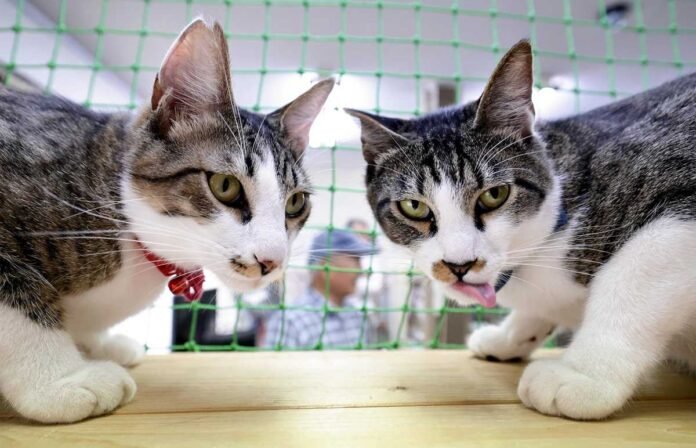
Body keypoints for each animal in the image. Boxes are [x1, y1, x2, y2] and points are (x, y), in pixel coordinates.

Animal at [0, 18, 332, 424]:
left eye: (296, 203)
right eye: (224, 185)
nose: (272, 261)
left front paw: (97, 344)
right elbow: (16, 307)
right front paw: (61, 379)